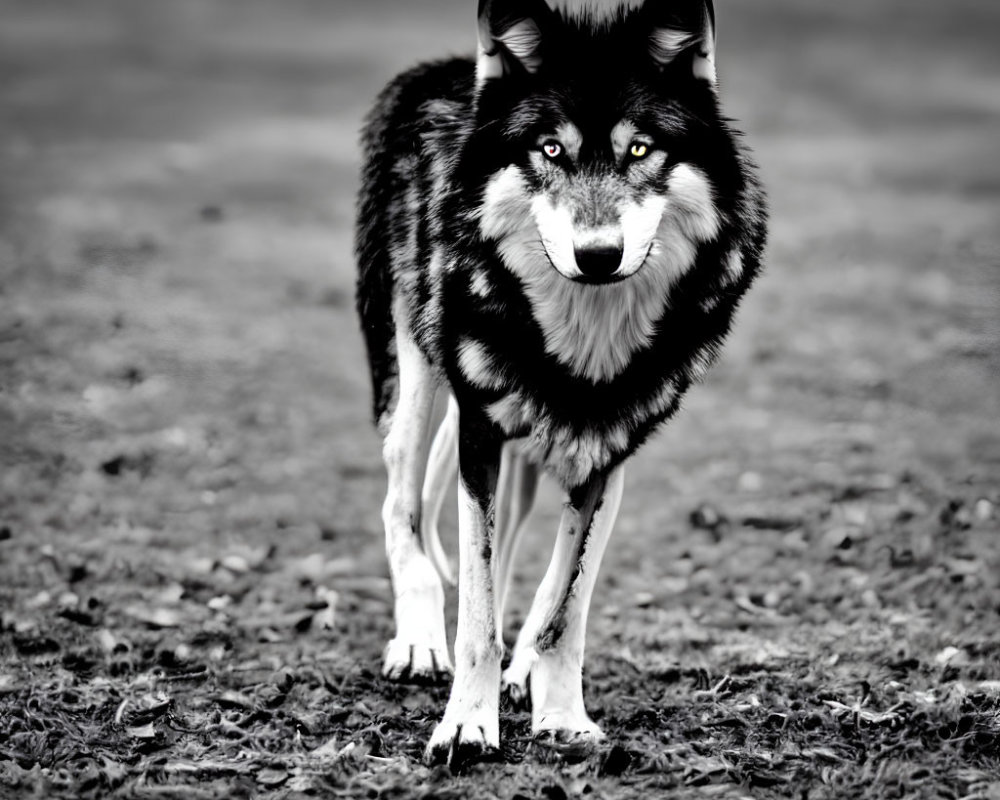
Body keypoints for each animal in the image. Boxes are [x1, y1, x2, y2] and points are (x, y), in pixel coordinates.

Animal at [356, 0, 768, 764]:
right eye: (551, 151)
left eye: (639, 150)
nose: (598, 255)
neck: (586, 341)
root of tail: (451, 67)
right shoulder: (480, 435)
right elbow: (478, 610)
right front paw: (467, 726)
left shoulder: (610, 450)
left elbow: (563, 607)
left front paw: (560, 715)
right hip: (417, 380)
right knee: (402, 507)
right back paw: (420, 642)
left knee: (511, 550)